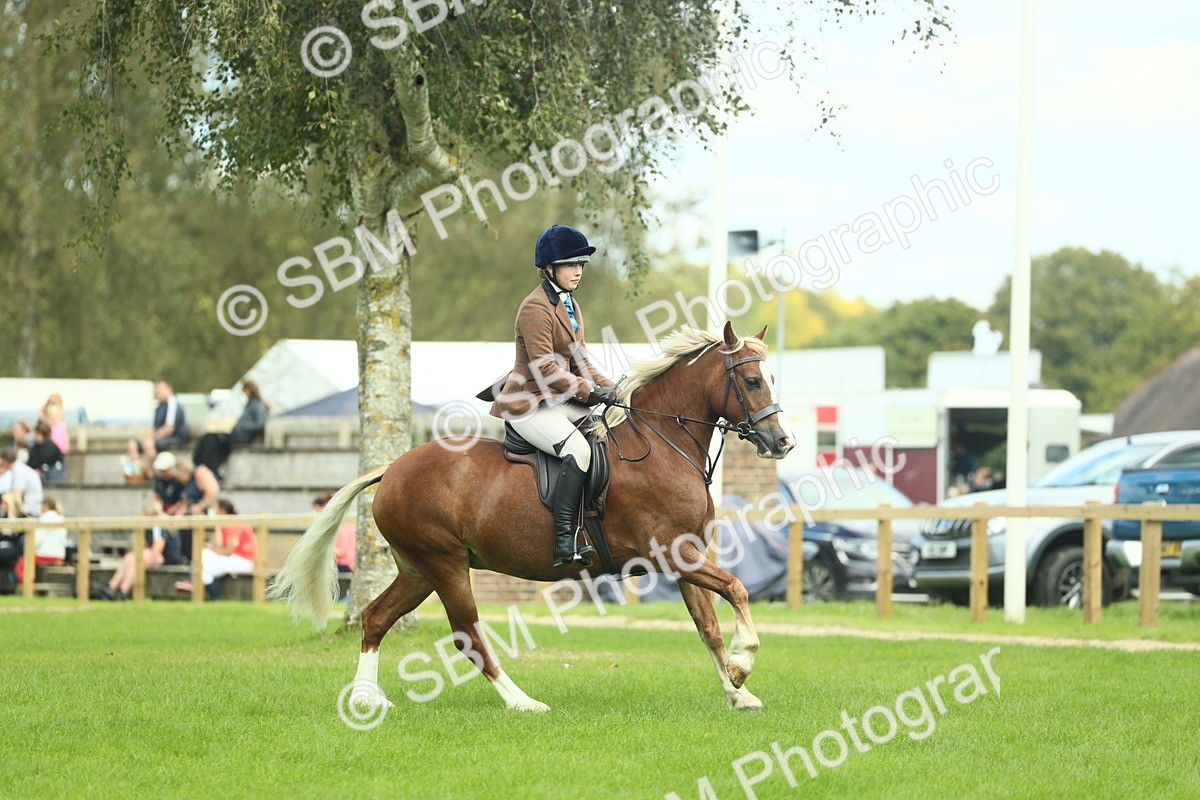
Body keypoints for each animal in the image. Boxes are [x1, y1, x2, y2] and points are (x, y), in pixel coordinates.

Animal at [269, 321, 795, 712]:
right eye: (752, 381)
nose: (783, 443)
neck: (661, 443)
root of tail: (393, 468)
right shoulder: (670, 553)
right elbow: (736, 588)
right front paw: (744, 664)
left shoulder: (686, 555)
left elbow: (708, 626)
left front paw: (736, 691)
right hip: (445, 563)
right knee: (468, 636)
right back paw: (522, 702)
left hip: (417, 569)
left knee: (376, 618)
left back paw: (367, 698)